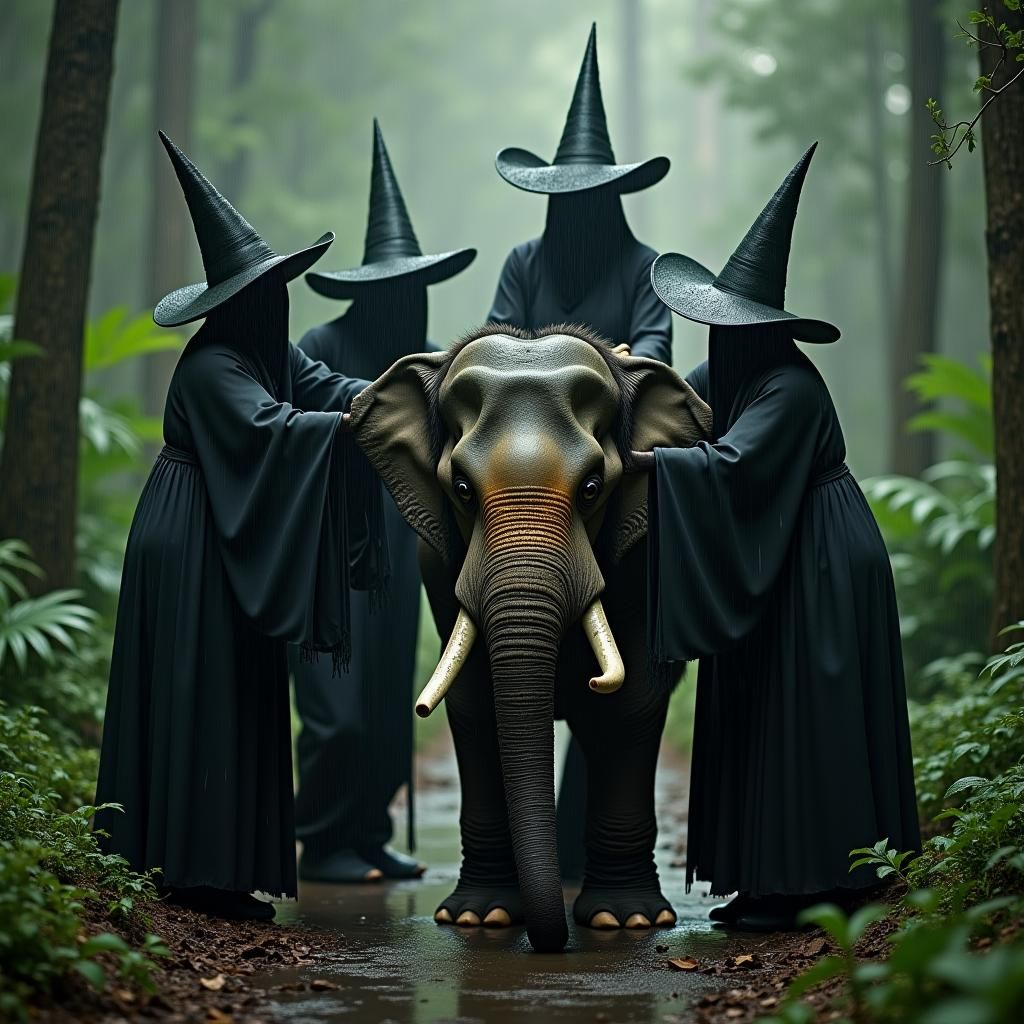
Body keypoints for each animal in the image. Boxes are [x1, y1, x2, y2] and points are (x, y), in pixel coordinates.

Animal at [349, 323, 710, 953]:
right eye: (461, 488)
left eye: (592, 487)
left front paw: (626, 921)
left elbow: (631, 707)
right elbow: (474, 705)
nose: (552, 944)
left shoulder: (643, 554)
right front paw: (480, 918)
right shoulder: (440, 569)